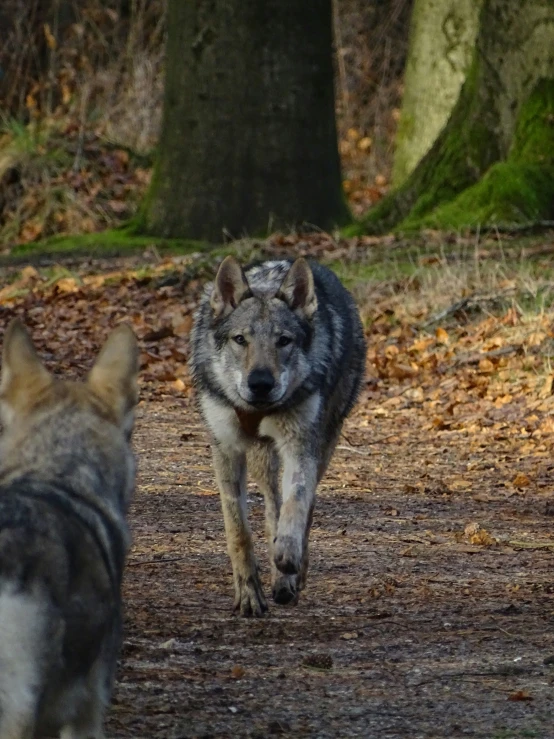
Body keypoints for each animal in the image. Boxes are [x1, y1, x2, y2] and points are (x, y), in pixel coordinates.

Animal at [191, 258, 366, 616]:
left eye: (284, 341)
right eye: (240, 339)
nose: (260, 383)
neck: (254, 408)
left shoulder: (299, 446)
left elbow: (296, 503)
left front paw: (287, 556)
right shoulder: (227, 450)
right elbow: (238, 531)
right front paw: (248, 594)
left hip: (321, 445)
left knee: (299, 505)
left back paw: (290, 576)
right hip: (262, 458)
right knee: (272, 504)